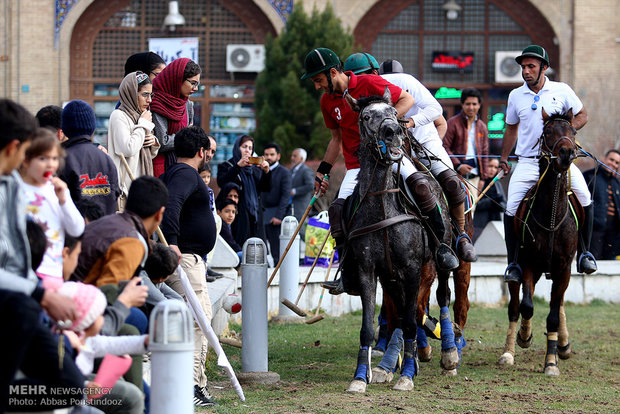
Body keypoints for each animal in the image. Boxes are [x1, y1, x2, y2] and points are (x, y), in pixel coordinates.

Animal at [342, 87, 458, 392]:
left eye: (394, 112)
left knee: (440, 296)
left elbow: (410, 320)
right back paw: (389, 365)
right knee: (401, 311)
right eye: (366, 116)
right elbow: (369, 327)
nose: (393, 131)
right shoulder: (368, 270)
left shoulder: (412, 268)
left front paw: (407, 373)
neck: (383, 206)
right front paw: (361, 377)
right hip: (392, 276)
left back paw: (448, 354)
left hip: (437, 261)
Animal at [498, 109, 580, 376]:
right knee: (515, 306)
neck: (552, 214)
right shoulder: (528, 264)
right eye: (548, 132)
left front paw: (552, 361)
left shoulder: (564, 267)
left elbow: (553, 313)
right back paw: (509, 352)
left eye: (573, 131)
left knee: (559, 302)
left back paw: (563, 345)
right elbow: (527, 306)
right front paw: (525, 336)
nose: (566, 153)